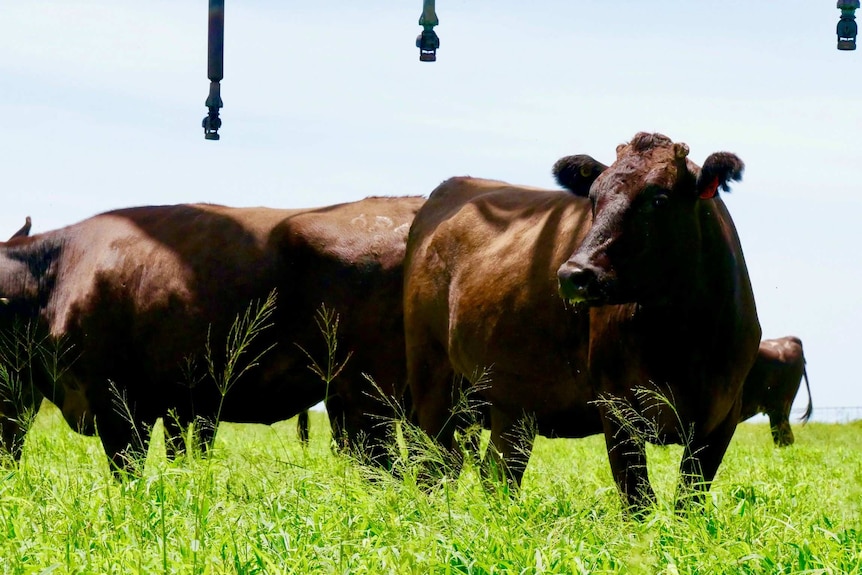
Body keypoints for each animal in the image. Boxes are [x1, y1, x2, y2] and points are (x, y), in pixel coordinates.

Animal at [404, 132, 764, 512]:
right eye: (593, 198)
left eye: (660, 199)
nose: (574, 275)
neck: (680, 338)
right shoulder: (616, 404)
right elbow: (637, 497)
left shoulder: (723, 414)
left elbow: (689, 498)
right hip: (433, 377)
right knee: (436, 462)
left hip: (510, 401)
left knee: (498, 470)